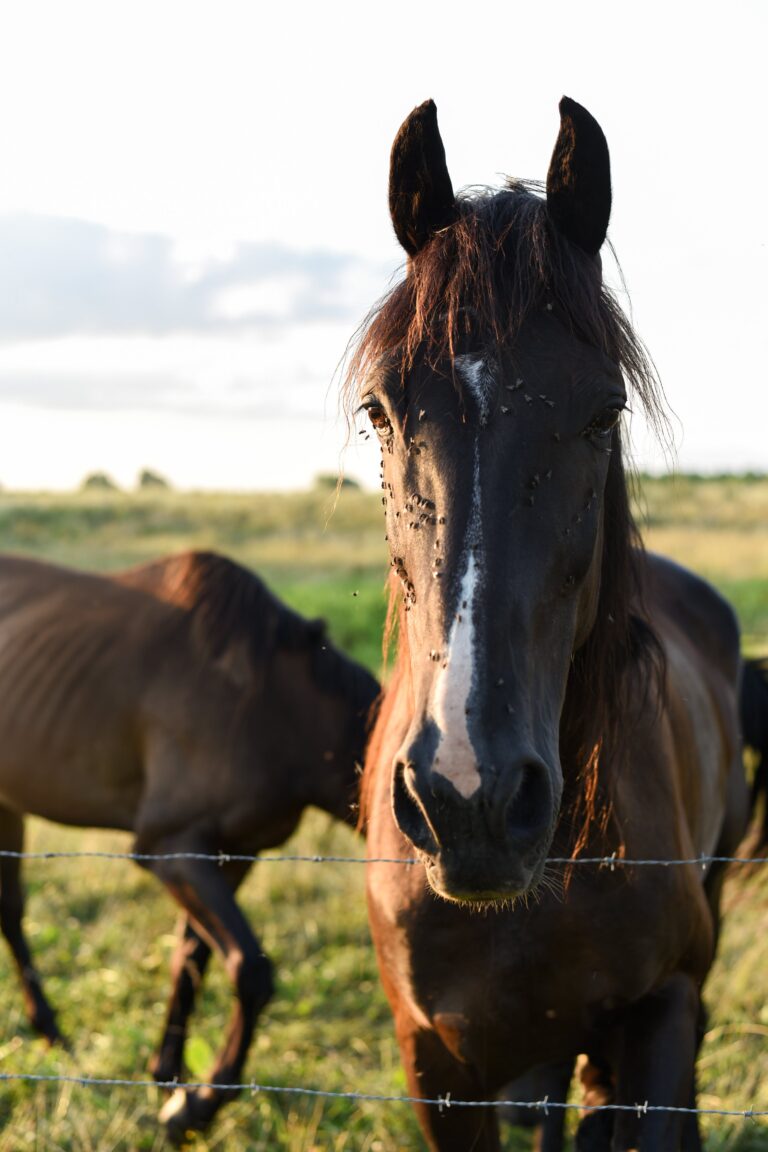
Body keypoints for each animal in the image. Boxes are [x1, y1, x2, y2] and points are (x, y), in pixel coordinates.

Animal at [0, 552, 377, 1138]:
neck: (277, 706)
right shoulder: (171, 848)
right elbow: (250, 970)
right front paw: (195, 1108)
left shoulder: (237, 852)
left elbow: (190, 960)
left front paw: (169, 1076)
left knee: (11, 911)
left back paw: (51, 1033)